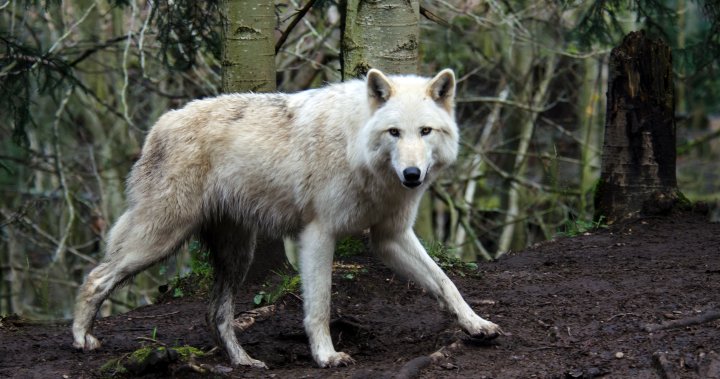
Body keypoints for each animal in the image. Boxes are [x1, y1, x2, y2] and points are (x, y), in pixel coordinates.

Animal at [73, 68, 500, 368]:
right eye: (394, 132)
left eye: (425, 131)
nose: (412, 175)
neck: (357, 149)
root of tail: (160, 124)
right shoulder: (318, 234)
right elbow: (320, 305)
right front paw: (326, 356)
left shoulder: (390, 236)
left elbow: (446, 283)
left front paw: (476, 324)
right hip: (161, 238)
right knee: (97, 276)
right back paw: (81, 338)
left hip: (236, 256)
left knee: (216, 314)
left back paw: (244, 362)